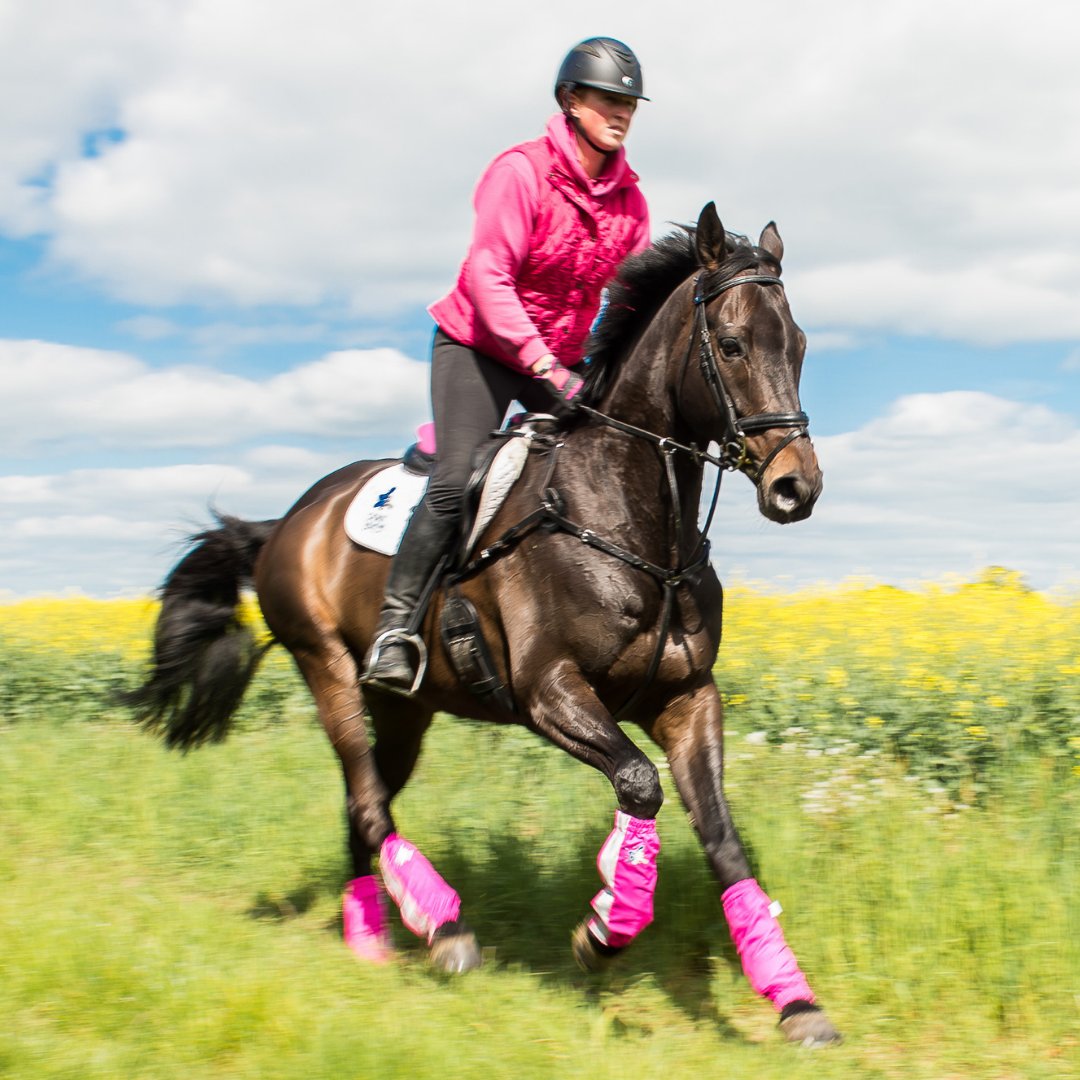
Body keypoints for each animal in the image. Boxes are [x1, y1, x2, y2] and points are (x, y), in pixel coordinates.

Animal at [124, 202, 839, 1047]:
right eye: (730, 344)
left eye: (799, 345)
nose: (796, 486)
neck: (628, 522)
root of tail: (288, 520)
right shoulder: (547, 690)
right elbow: (638, 783)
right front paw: (605, 925)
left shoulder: (688, 697)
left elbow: (724, 838)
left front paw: (794, 999)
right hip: (329, 667)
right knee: (367, 796)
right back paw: (444, 931)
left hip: (405, 712)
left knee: (365, 800)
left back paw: (371, 937)